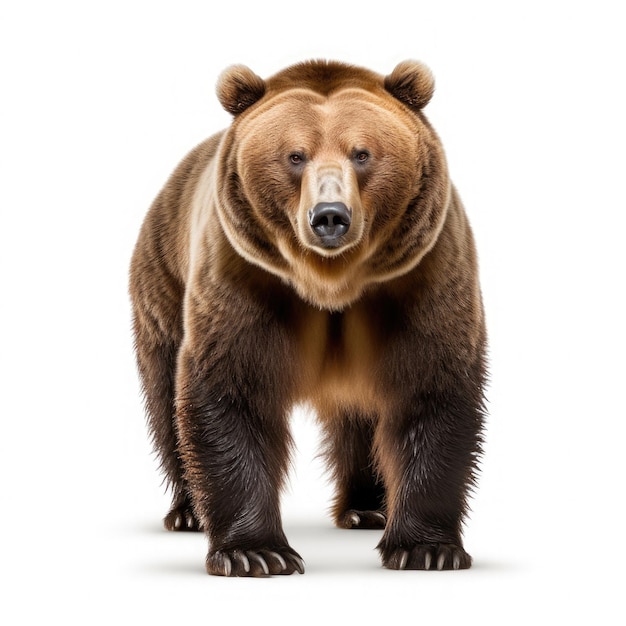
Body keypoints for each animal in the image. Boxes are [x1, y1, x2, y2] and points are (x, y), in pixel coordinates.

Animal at [129, 58, 486, 576]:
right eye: (295, 156)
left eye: (362, 153)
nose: (330, 216)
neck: (331, 284)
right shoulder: (243, 277)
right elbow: (230, 392)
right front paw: (256, 552)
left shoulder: (423, 273)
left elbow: (432, 389)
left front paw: (427, 548)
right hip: (164, 282)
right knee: (164, 396)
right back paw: (190, 511)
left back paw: (368, 507)